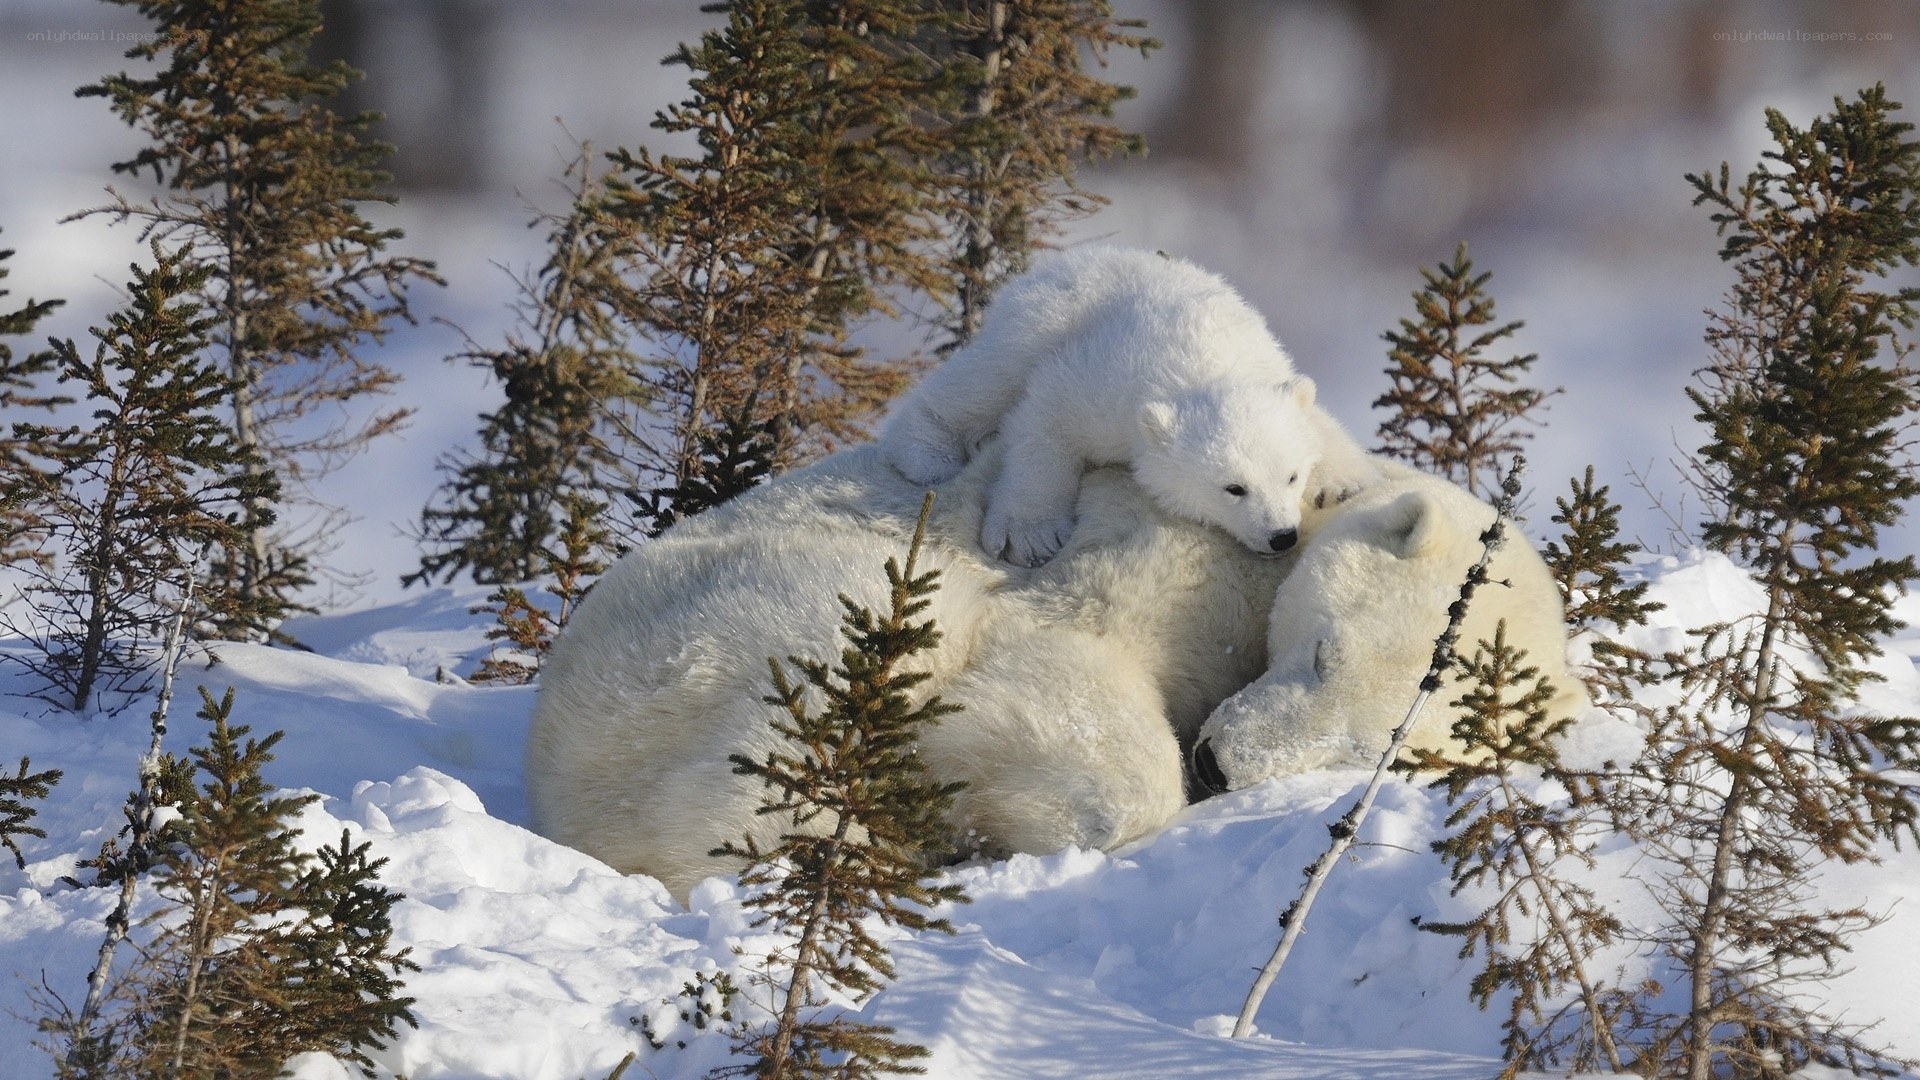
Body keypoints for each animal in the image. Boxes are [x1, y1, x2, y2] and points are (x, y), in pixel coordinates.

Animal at [879, 246, 1379, 567]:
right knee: (985, 380)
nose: (1282, 536)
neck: (1204, 361)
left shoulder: (1267, 362)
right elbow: (1045, 420)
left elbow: (1314, 419)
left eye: (1291, 476)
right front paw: (1030, 534)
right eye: (1233, 488)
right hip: (1038, 322)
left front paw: (1340, 480)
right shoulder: (1102, 385)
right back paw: (928, 452)